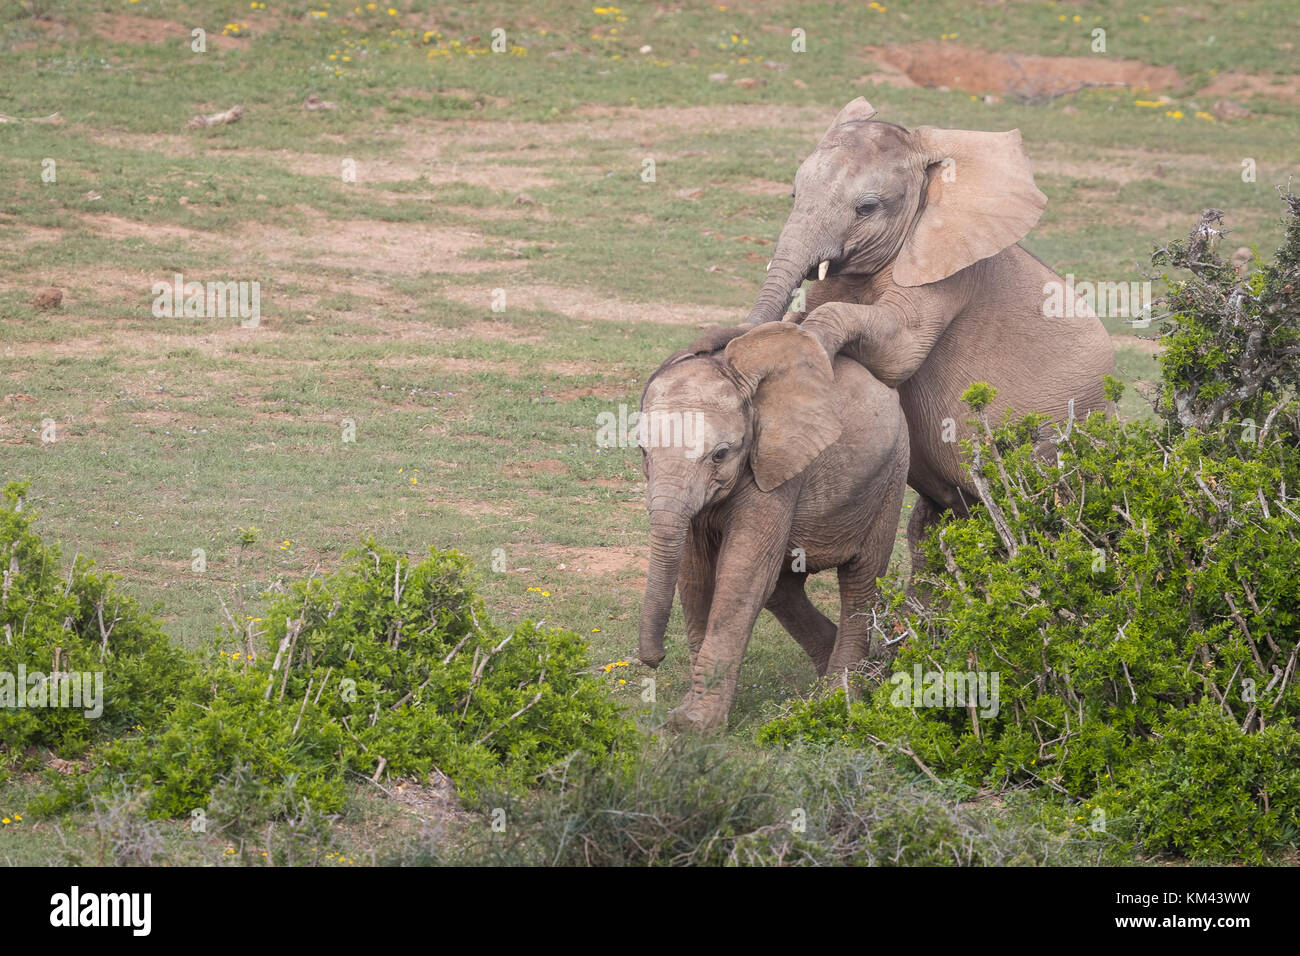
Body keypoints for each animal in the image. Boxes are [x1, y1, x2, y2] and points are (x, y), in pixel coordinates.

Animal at [637, 321, 904, 733]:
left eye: (720, 454)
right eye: (643, 452)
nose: (654, 658)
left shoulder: (779, 466)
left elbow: (741, 575)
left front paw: (693, 723)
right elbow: (696, 574)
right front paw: (689, 713)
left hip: (890, 476)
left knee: (861, 582)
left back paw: (838, 697)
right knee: (783, 586)